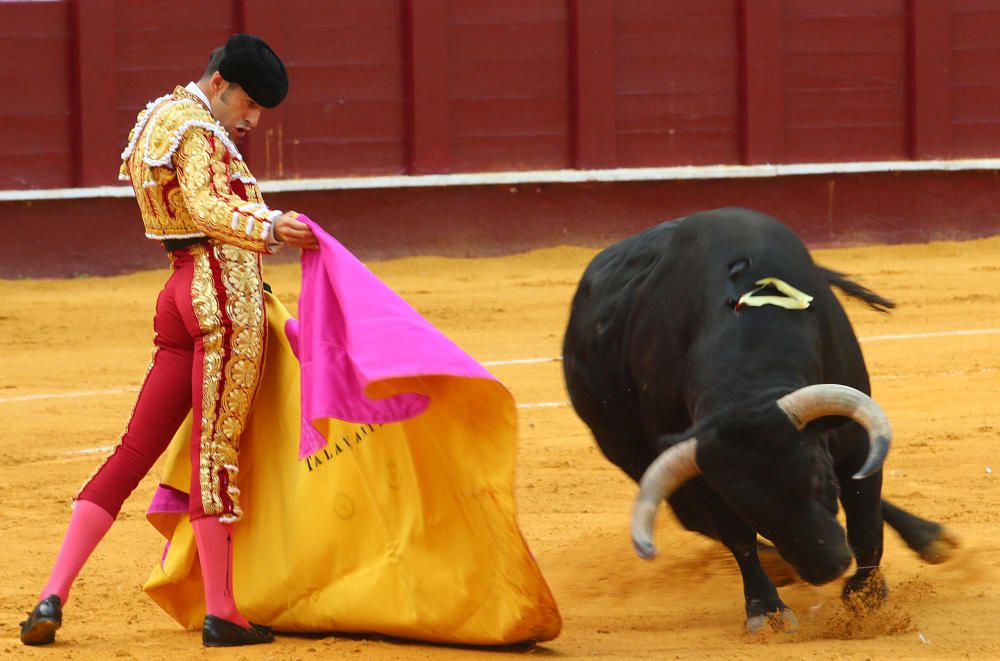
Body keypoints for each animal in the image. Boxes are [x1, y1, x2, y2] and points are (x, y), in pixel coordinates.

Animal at [568, 209, 956, 632]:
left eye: (821, 478)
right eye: (743, 504)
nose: (825, 567)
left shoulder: (855, 439)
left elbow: (865, 516)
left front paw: (866, 597)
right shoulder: (705, 477)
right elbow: (737, 536)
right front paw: (767, 610)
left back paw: (929, 538)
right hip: (629, 453)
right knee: (694, 518)